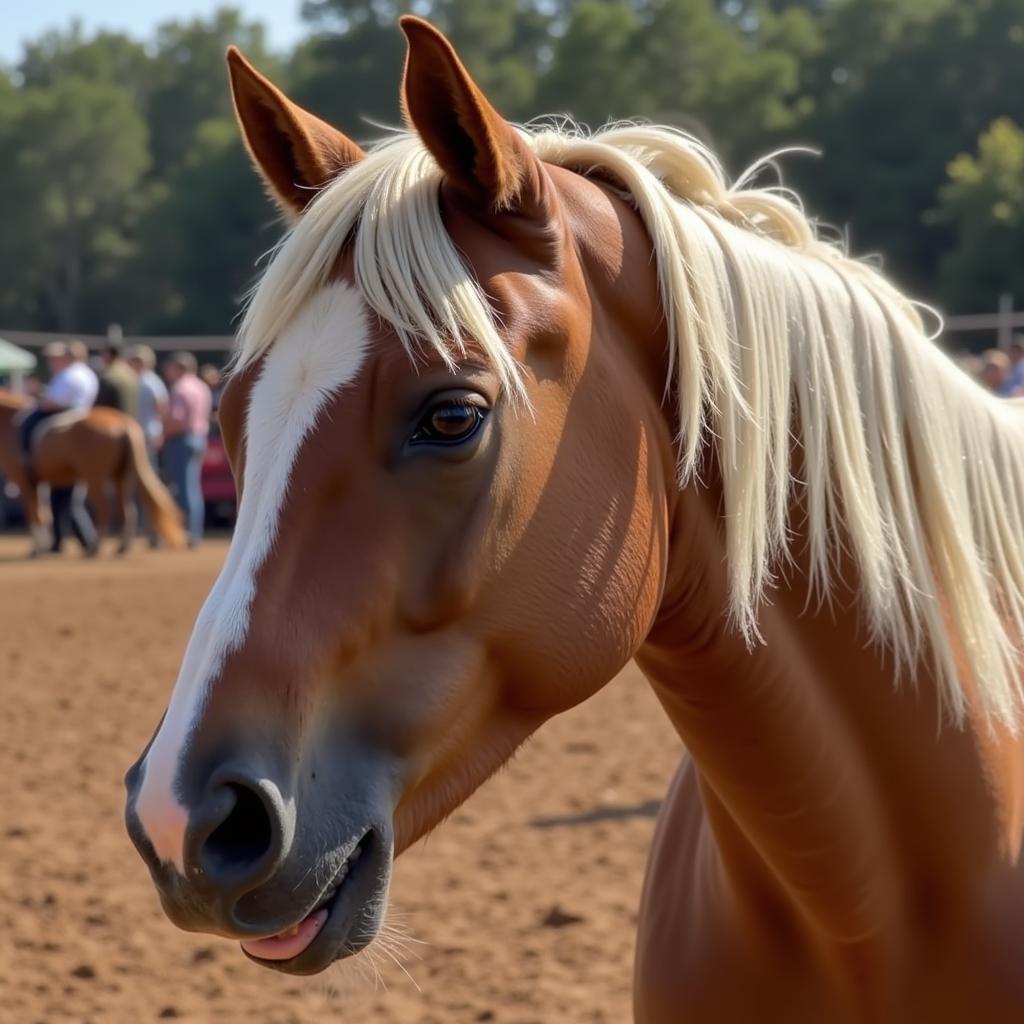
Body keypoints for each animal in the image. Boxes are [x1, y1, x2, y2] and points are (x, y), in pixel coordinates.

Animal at [0, 389, 186, 552]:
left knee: (104, 510)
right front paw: (42, 546)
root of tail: (122, 423)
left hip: (94, 478)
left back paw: (95, 547)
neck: (10, 425)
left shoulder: (23, 480)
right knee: (127, 510)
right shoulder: (38, 481)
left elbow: (35, 513)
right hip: (120, 477)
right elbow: (44, 513)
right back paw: (120, 547)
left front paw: (37, 548)